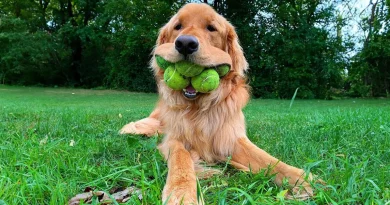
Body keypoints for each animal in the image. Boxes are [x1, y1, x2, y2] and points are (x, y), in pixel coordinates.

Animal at [120, 3, 316, 205]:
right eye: (178, 26)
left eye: (211, 28)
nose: (185, 44)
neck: (199, 107)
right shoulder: (175, 139)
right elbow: (181, 158)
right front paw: (182, 193)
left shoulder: (230, 137)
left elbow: (267, 159)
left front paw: (302, 179)